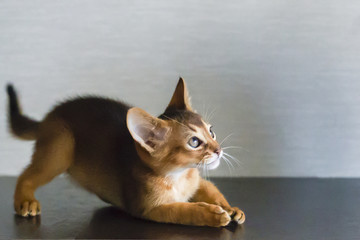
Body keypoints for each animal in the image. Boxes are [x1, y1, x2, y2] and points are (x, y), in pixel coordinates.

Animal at [7, 78, 245, 227]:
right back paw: (25, 201)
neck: (178, 176)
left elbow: (211, 189)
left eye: (211, 131)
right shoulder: (148, 209)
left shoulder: (196, 180)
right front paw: (211, 214)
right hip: (60, 148)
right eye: (194, 141)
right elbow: (183, 211)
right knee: (26, 175)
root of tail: (49, 117)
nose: (219, 150)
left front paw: (229, 208)